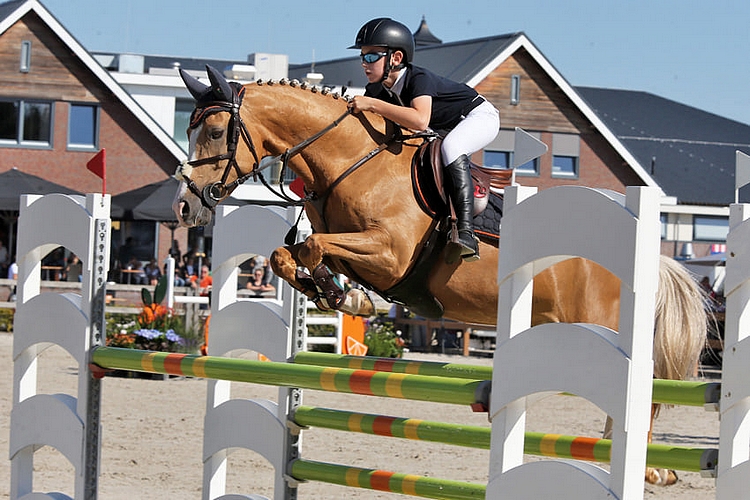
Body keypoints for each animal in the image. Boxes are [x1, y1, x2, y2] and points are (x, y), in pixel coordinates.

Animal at [173, 66, 708, 484]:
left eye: (216, 132)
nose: (185, 206)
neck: (353, 162)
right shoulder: (358, 251)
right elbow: (289, 255)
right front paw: (339, 296)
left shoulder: (389, 255)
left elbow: (310, 246)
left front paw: (346, 297)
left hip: (604, 327)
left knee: (646, 390)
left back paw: (648, 468)